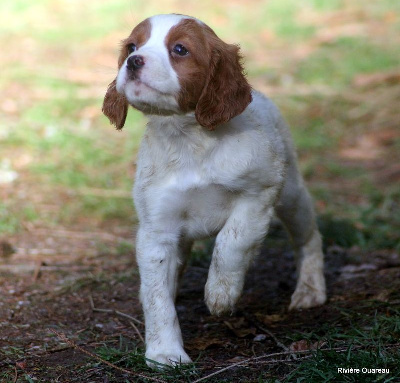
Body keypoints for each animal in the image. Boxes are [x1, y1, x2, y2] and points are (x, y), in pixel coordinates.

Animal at [101, 13, 326, 368]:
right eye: (132, 47)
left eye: (180, 49)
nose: (134, 62)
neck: (188, 139)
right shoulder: (157, 229)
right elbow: (156, 296)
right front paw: (165, 353)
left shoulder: (260, 192)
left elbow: (232, 241)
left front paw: (220, 292)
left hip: (291, 194)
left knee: (308, 237)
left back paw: (310, 290)